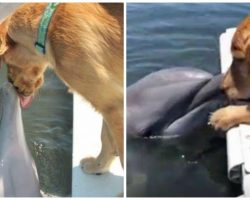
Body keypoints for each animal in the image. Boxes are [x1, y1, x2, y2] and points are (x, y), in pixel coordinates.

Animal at [0, 3, 123, 175]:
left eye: (7, 62)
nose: (11, 84)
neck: (47, 25)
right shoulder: (111, 101)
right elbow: (106, 138)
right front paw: (98, 167)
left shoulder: (113, 104)